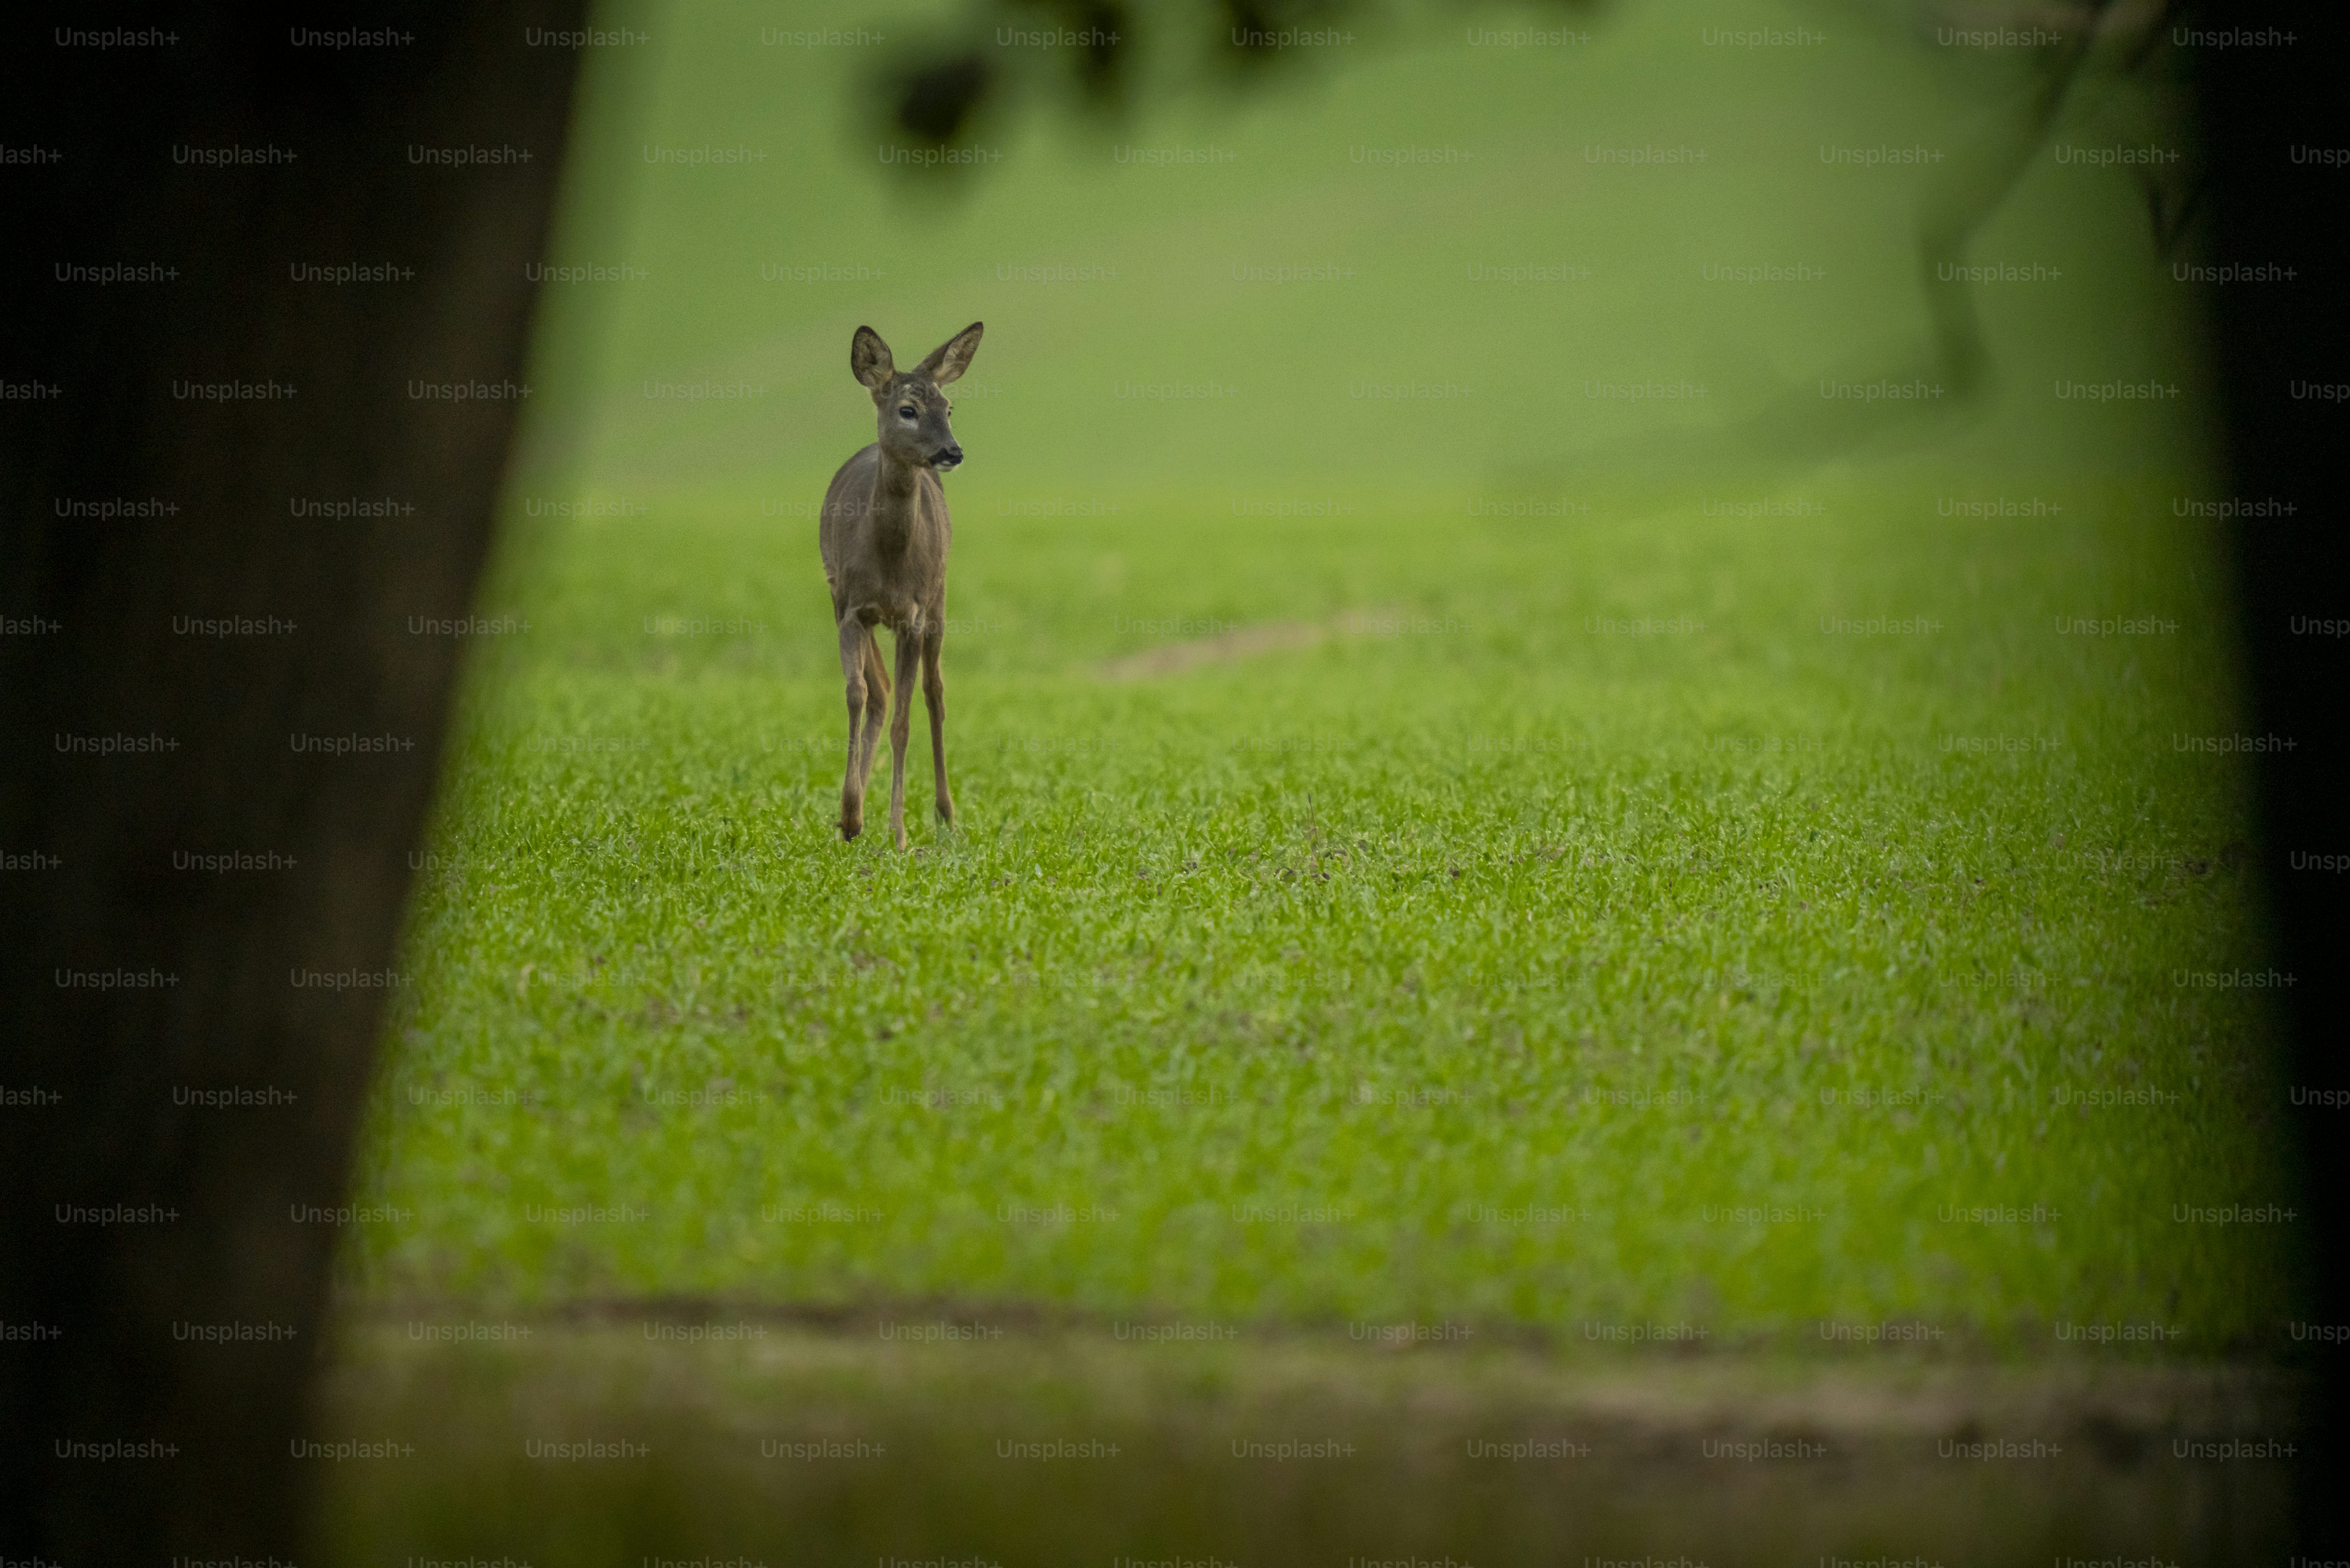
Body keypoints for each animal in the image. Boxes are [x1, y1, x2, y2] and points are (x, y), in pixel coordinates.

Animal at [819, 321, 983, 848]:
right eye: (907, 410)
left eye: (948, 408)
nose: (952, 451)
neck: (889, 562)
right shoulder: (852, 609)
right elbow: (857, 694)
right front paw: (850, 815)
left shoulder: (911, 614)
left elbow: (904, 722)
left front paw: (898, 832)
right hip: (843, 600)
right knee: (881, 689)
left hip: (939, 599)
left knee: (934, 692)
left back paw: (946, 814)